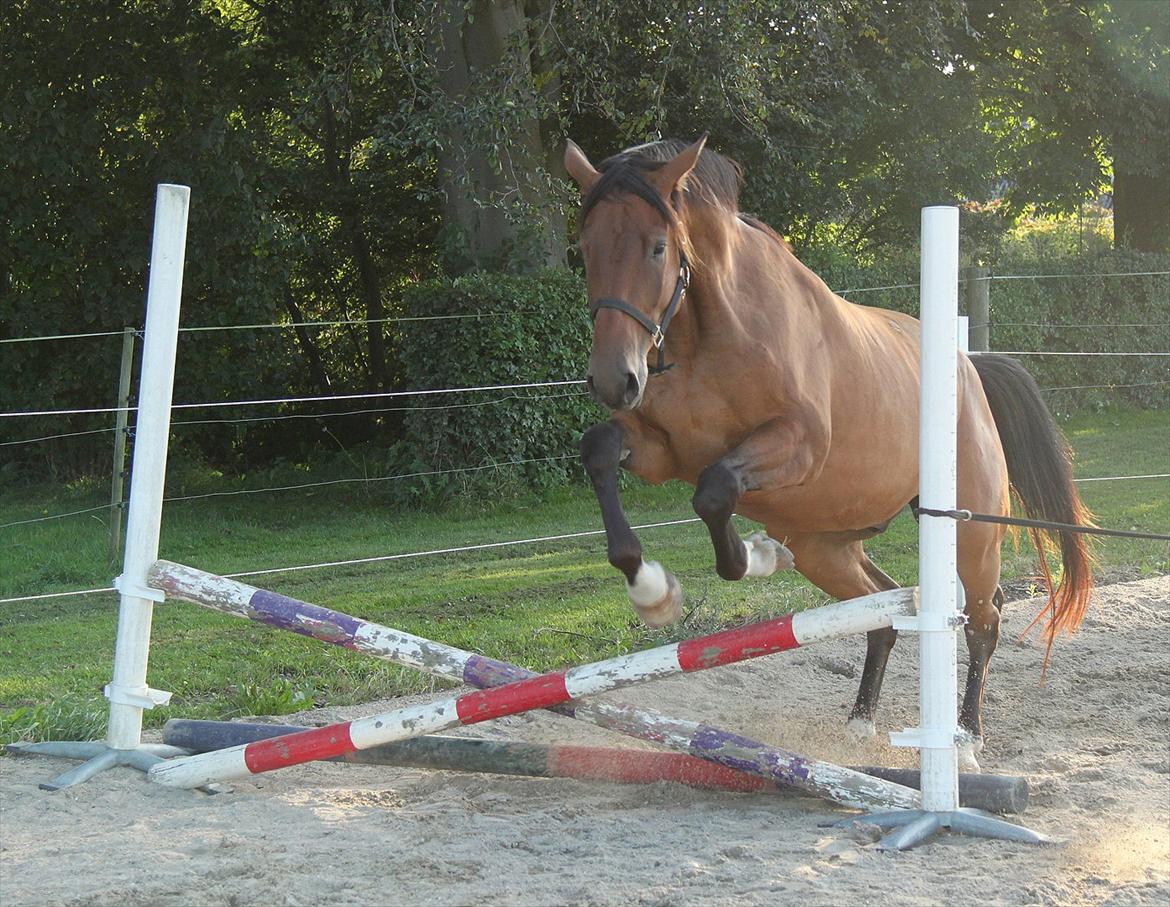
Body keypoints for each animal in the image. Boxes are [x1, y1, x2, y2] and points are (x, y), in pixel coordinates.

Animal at [566, 134, 1095, 767]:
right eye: (584, 250)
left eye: (658, 247)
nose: (613, 380)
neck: (708, 336)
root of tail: (968, 366)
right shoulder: (658, 450)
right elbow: (601, 450)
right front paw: (650, 590)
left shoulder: (797, 445)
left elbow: (716, 490)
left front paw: (754, 557)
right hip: (827, 547)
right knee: (883, 608)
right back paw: (860, 725)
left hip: (970, 533)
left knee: (981, 622)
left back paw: (966, 743)